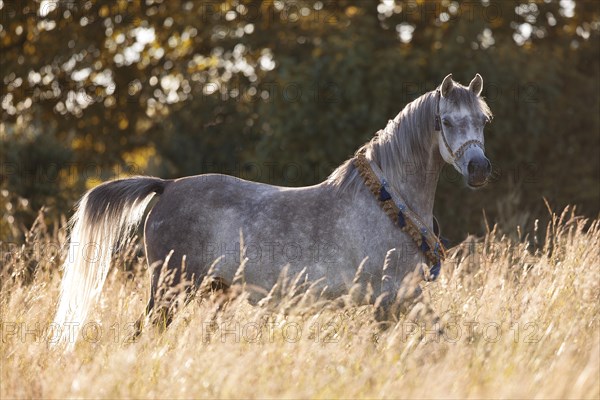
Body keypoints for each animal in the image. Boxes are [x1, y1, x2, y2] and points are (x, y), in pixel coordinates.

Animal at [51, 74, 492, 346]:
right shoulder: (387, 300)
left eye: (483, 120)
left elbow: (441, 337)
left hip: (210, 291)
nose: (479, 169)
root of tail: (167, 186)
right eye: (445, 121)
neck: (389, 201)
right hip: (171, 289)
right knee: (145, 332)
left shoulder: (407, 296)